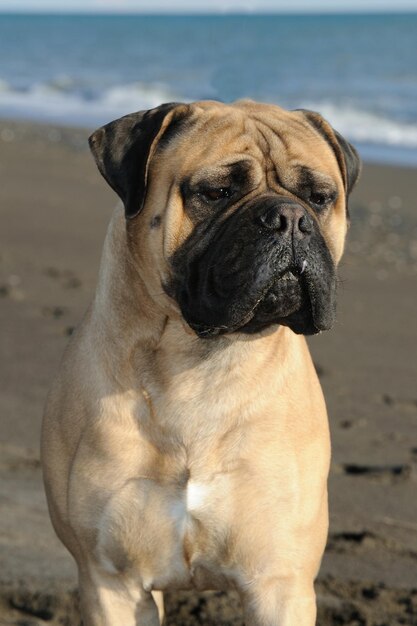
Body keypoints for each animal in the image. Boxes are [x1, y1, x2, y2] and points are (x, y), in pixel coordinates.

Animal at [43, 100, 360, 620]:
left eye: (319, 197)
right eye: (216, 192)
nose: (290, 218)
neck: (202, 362)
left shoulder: (280, 583)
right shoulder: (110, 581)